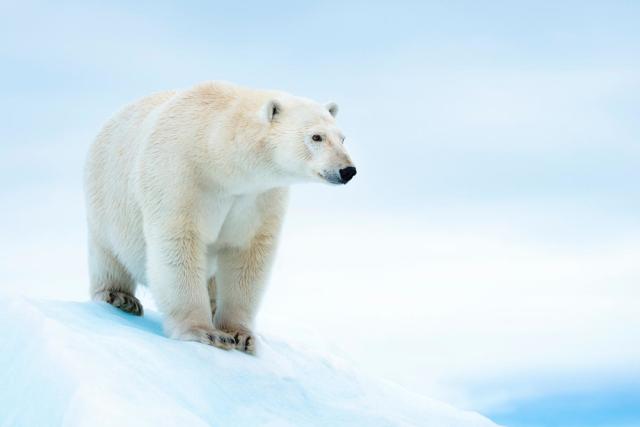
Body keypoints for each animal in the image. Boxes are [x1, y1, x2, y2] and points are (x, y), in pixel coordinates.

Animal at [84, 81, 356, 353]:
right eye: (316, 137)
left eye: (342, 138)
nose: (348, 170)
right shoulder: (179, 175)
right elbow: (179, 243)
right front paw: (205, 332)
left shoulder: (258, 196)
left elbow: (248, 255)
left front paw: (241, 336)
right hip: (106, 198)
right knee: (108, 254)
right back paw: (120, 297)